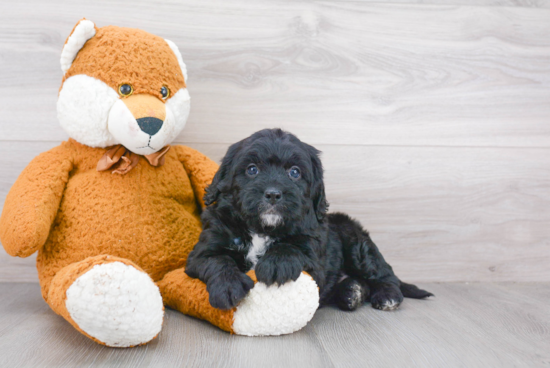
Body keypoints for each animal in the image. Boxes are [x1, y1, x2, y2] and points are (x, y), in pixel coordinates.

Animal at [187, 129, 436, 310]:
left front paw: (276, 263)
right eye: (251, 169)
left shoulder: (315, 256)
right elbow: (217, 260)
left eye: (295, 172)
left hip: (358, 245)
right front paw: (228, 286)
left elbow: (293, 247)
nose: (273, 194)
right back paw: (351, 292)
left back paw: (386, 295)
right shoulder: (202, 251)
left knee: (385, 274)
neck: (263, 228)